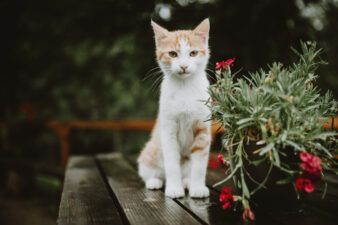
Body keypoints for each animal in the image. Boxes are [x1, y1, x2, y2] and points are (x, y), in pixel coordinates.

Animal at [137, 19, 211, 199]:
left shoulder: (203, 130)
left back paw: (187, 181)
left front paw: (197, 187)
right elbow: (171, 163)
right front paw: (174, 189)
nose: (183, 66)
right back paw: (155, 181)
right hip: (151, 151)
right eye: (172, 54)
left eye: (193, 53)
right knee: (149, 171)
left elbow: (199, 165)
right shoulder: (168, 130)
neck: (184, 87)